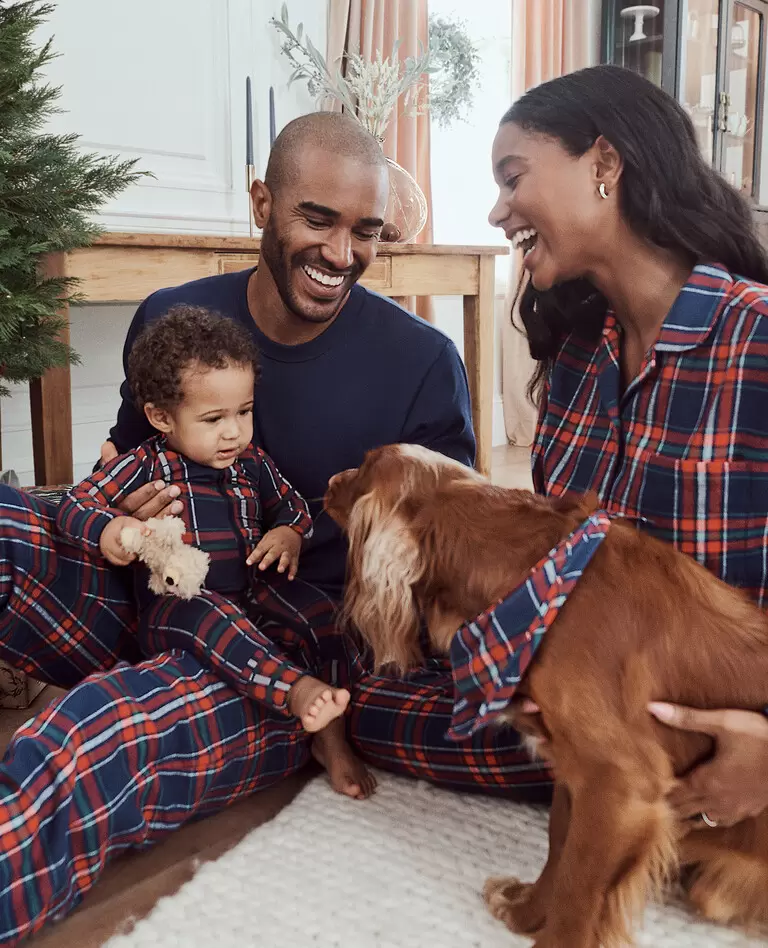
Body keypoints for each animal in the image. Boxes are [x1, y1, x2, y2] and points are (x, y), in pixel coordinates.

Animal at [326, 444, 768, 948]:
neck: (533, 587)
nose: (328, 482)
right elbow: (559, 846)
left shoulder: (621, 785)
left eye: (361, 469)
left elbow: (578, 893)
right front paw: (525, 912)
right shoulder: (574, 765)